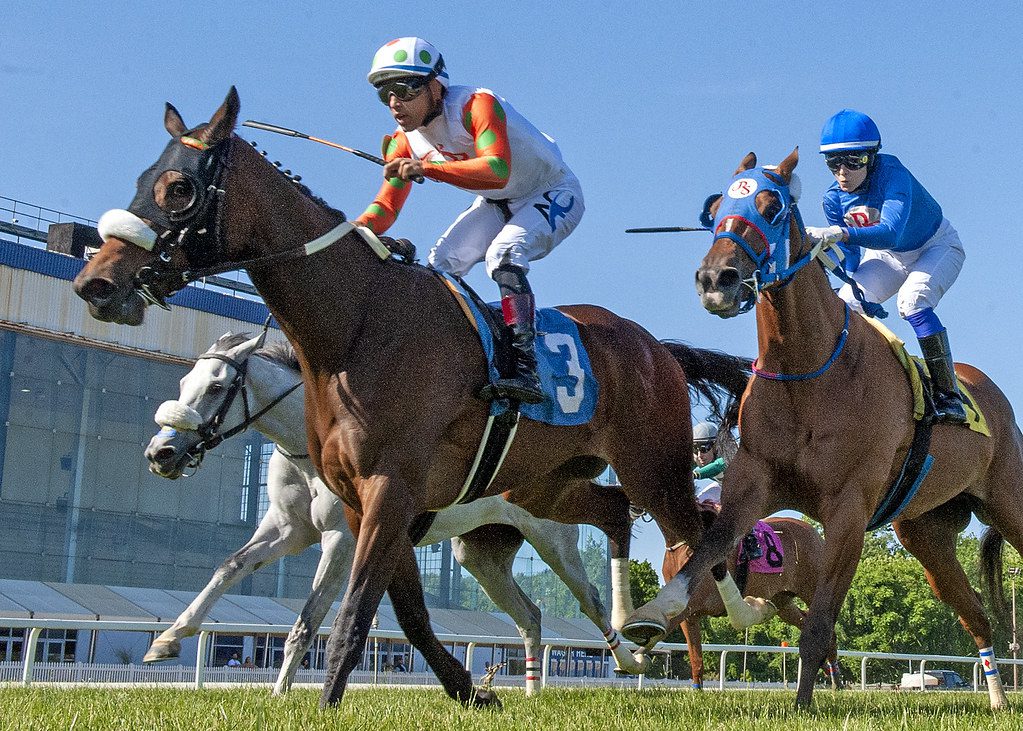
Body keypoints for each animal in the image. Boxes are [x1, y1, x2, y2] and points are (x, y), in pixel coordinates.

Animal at [142, 335, 646, 695]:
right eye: (183, 384)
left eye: (216, 387)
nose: (160, 453)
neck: (309, 446)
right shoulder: (287, 529)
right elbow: (230, 566)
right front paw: (168, 639)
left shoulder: (340, 539)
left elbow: (306, 622)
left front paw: (280, 694)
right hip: (479, 556)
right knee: (531, 615)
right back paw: (532, 691)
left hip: (552, 540)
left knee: (590, 599)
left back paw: (631, 660)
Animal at [662, 511, 838, 691]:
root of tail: (815, 533)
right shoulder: (688, 613)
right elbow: (695, 656)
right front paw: (697, 690)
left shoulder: (692, 602)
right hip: (783, 603)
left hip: (812, 588)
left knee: (829, 632)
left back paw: (835, 678)